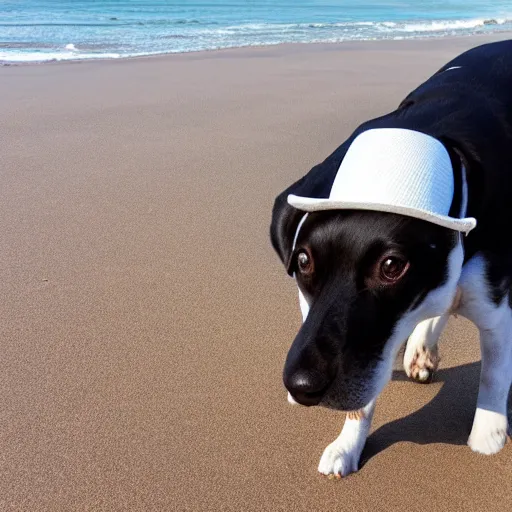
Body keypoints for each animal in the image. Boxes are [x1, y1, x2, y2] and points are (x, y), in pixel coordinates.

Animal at [270, 41, 510, 480]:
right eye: (304, 261)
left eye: (391, 266)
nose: (301, 385)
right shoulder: (360, 337)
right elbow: (360, 392)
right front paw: (348, 443)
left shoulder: (494, 304)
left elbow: (495, 373)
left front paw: (489, 434)